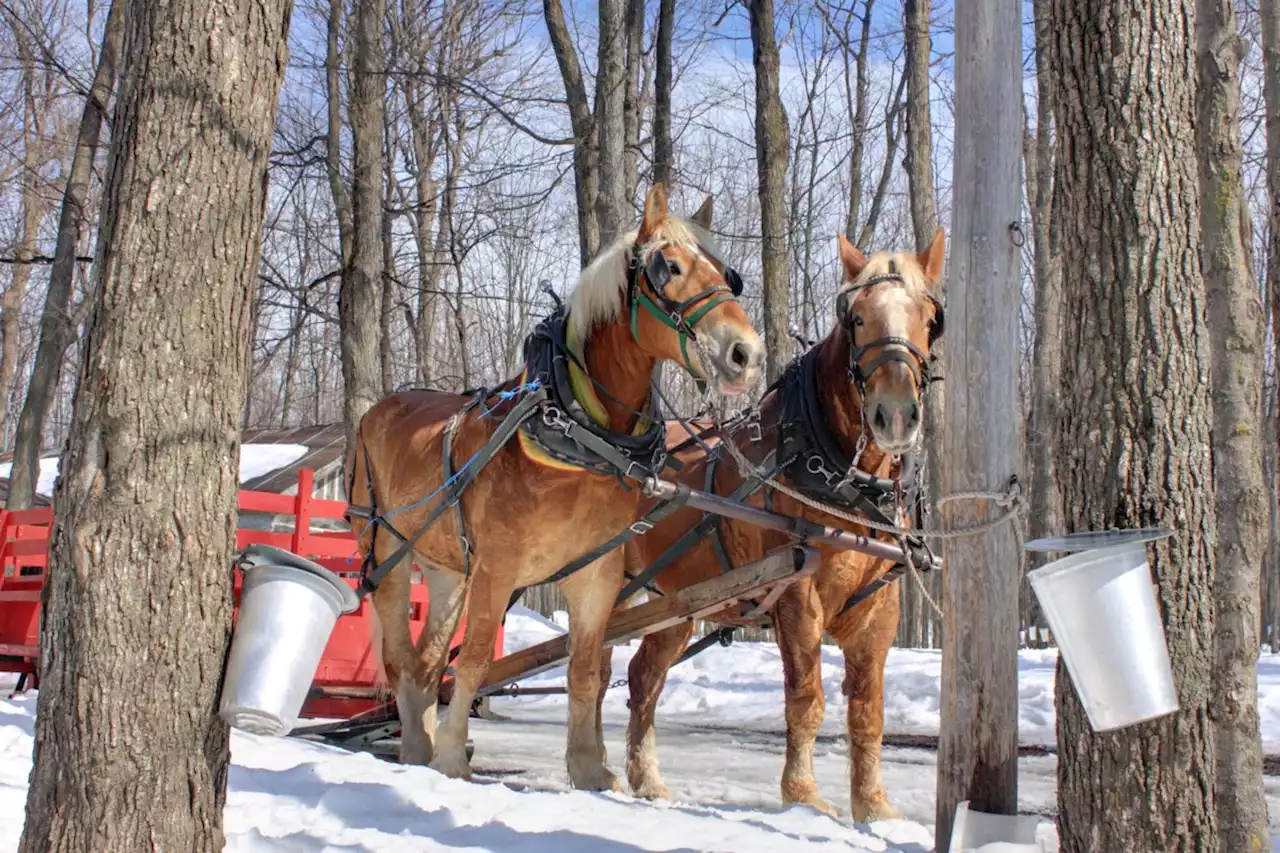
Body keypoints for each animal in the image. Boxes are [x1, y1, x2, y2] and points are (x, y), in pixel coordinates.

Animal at [345, 183, 762, 788]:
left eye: (727, 273)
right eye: (671, 267)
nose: (746, 354)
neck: (576, 433)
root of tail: (379, 409)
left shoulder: (596, 574)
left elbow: (585, 668)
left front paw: (590, 770)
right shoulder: (498, 567)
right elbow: (476, 660)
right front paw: (453, 757)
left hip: (450, 570)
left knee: (426, 662)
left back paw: (418, 744)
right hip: (387, 551)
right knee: (402, 656)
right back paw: (421, 748)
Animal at [614, 227, 947, 819]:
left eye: (930, 319)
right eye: (856, 317)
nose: (895, 415)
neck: (840, 478)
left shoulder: (880, 608)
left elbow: (869, 711)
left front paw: (875, 808)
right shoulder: (797, 597)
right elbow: (806, 699)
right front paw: (804, 796)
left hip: (673, 601)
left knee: (644, 676)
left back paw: (646, 778)